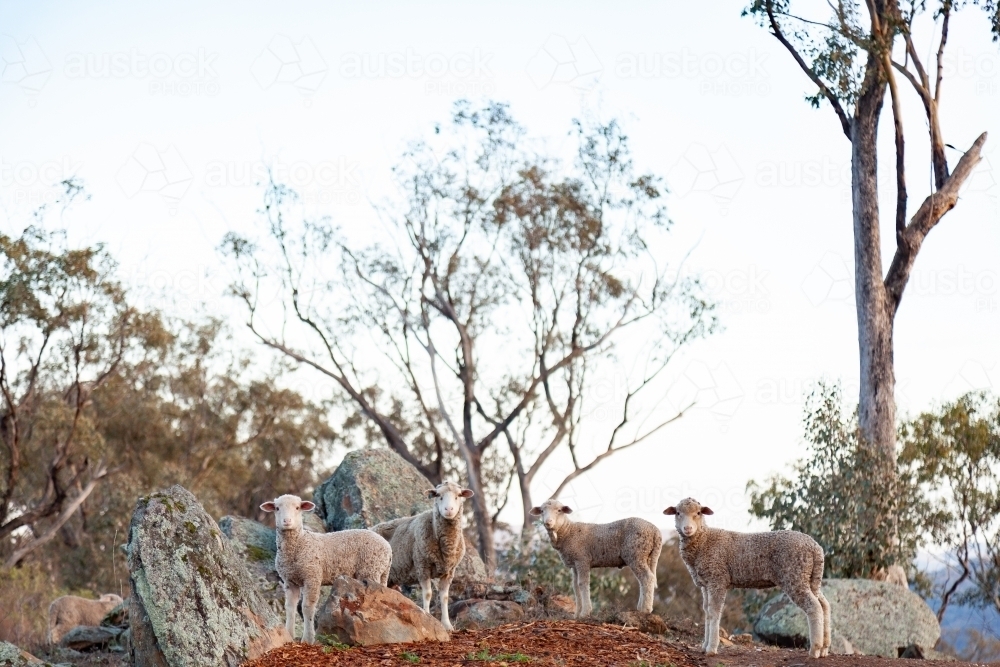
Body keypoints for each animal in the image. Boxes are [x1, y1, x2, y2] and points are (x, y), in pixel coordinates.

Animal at [260, 493, 392, 644]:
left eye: (298, 507)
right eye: (277, 508)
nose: (286, 521)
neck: (299, 542)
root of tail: (388, 548)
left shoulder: (312, 576)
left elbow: (307, 607)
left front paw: (308, 639)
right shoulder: (289, 580)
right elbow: (290, 607)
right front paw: (289, 634)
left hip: (370, 569)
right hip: (381, 572)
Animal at [370, 481, 474, 631]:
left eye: (458, 496)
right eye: (439, 496)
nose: (448, 509)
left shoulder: (449, 572)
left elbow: (444, 597)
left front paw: (447, 625)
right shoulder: (422, 565)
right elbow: (428, 594)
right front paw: (427, 616)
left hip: (389, 576)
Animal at [529, 499, 663, 618]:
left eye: (559, 510)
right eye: (542, 511)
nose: (548, 522)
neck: (567, 532)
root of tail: (656, 532)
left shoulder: (582, 559)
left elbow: (583, 584)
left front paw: (585, 613)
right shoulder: (574, 564)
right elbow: (575, 586)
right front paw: (576, 614)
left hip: (636, 553)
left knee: (647, 578)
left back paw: (645, 609)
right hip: (647, 556)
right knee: (644, 580)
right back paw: (641, 607)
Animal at [663, 497, 831, 658]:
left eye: (698, 513)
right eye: (678, 513)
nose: (688, 529)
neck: (703, 541)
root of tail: (816, 547)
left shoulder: (717, 579)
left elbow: (715, 612)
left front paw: (711, 648)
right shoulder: (705, 583)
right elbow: (707, 612)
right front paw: (704, 646)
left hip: (795, 576)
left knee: (814, 606)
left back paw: (815, 650)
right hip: (810, 577)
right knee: (824, 605)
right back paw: (824, 648)